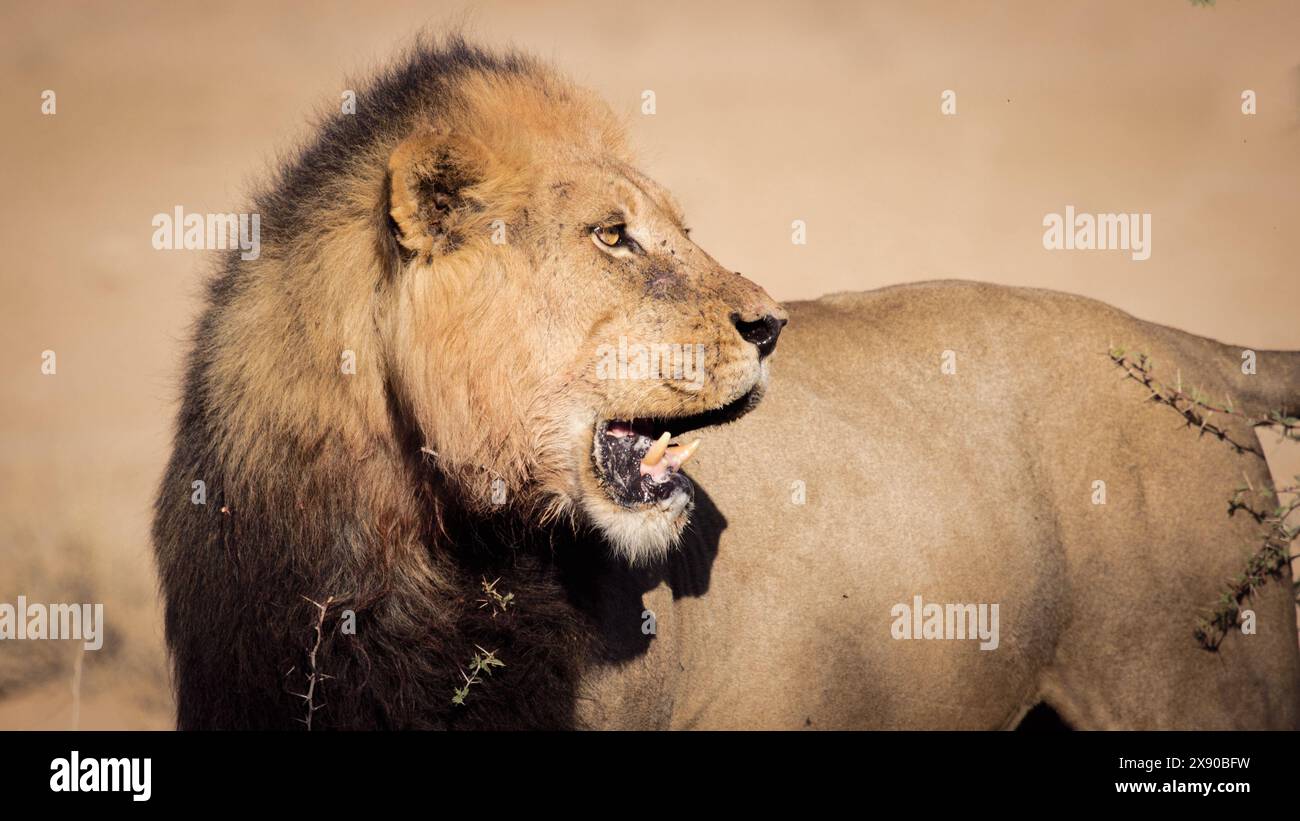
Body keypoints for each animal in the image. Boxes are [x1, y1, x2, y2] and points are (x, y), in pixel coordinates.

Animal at [154, 36, 1300, 732]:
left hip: (1202, 686)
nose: (771, 322)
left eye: (676, 227)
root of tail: (1180, 346)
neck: (405, 536)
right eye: (611, 235)